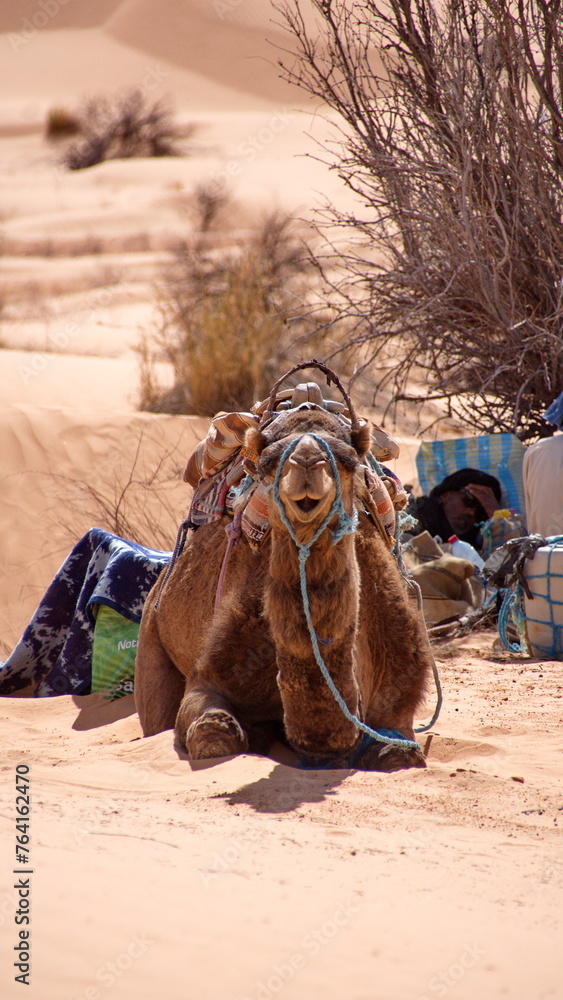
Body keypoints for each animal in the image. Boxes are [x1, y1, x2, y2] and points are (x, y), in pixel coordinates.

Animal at [135, 376, 434, 771]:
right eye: (267, 463)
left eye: (348, 460)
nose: (306, 460)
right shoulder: (210, 677)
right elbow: (214, 732)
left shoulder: (398, 697)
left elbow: (401, 753)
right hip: (151, 635)